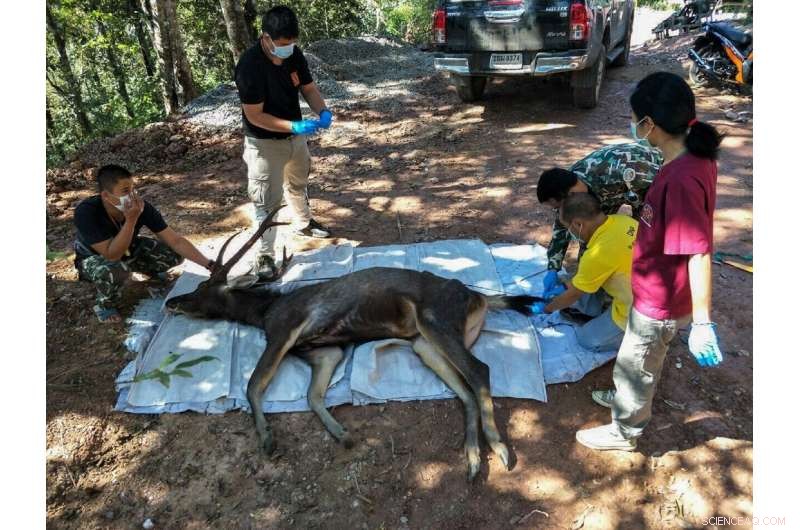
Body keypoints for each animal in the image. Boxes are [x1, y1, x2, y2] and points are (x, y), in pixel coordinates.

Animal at [165, 206, 541, 480]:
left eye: (202, 289)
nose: (172, 302)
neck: (264, 311)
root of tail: (479, 297)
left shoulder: (285, 329)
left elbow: (253, 384)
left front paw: (267, 438)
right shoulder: (325, 351)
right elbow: (312, 395)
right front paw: (342, 434)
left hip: (436, 320)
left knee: (480, 370)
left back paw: (500, 448)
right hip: (424, 343)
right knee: (464, 390)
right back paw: (473, 460)